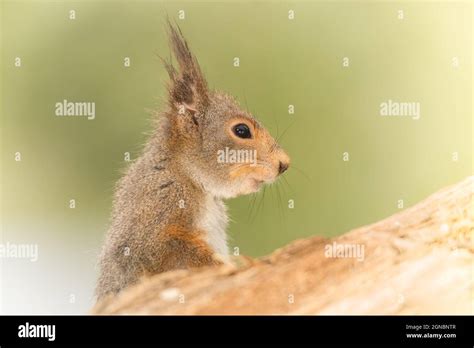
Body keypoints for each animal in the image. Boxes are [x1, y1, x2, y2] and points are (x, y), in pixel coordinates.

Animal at [95, 22, 288, 300]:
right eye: (242, 131)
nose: (285, 164)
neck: (187, 176)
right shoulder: (157, 211)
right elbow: (171, 256)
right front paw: (236, 264)